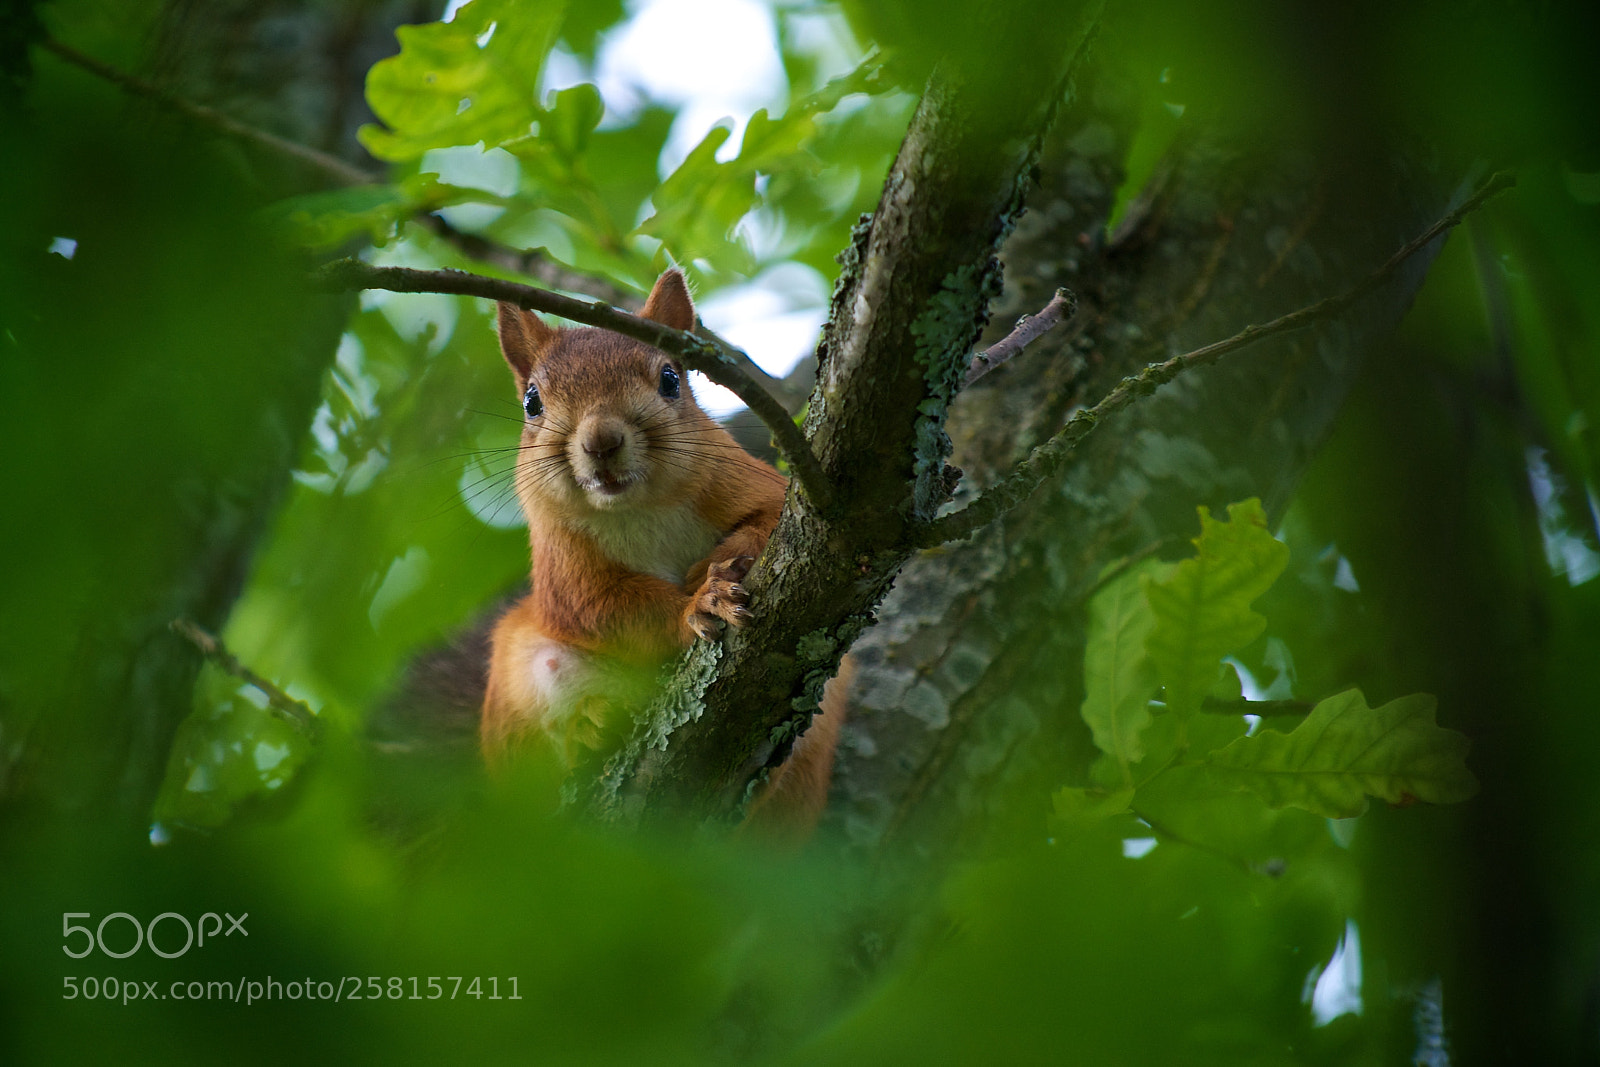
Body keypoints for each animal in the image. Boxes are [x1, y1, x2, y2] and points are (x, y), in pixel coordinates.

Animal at [480, 268, 844, 837]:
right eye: (532, 402)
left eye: (671, 379)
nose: (602, 440)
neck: (640, 508)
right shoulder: (564, 567)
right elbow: (603, 608)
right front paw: (697, 605)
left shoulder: (756, 485)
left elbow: (767, 522)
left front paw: (707, 571)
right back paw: (591, 725)